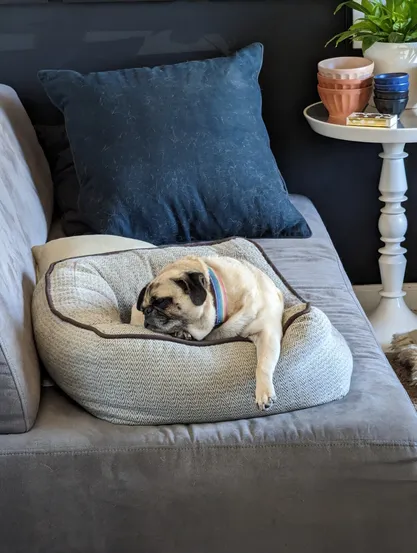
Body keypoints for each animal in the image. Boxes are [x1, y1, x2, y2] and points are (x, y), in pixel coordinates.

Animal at [132, 256, 284, 410]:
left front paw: (264, 392)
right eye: (143, 308)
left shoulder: (267, 333)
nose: (146, 311)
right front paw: (182, 333)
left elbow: (263, 365)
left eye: (161, 301)